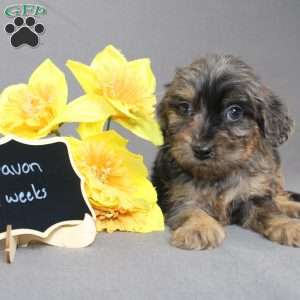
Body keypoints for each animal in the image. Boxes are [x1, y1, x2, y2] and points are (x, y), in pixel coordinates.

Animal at [152, 55, 300, 250]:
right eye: (185, 108)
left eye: (235, 112)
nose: (201, 150)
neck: (219, 173)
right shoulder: (180, 195)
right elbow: (191, 209)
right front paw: (199, 227)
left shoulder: (254, 195)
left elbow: (270, 210)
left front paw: (287, 225)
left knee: (278, 195)